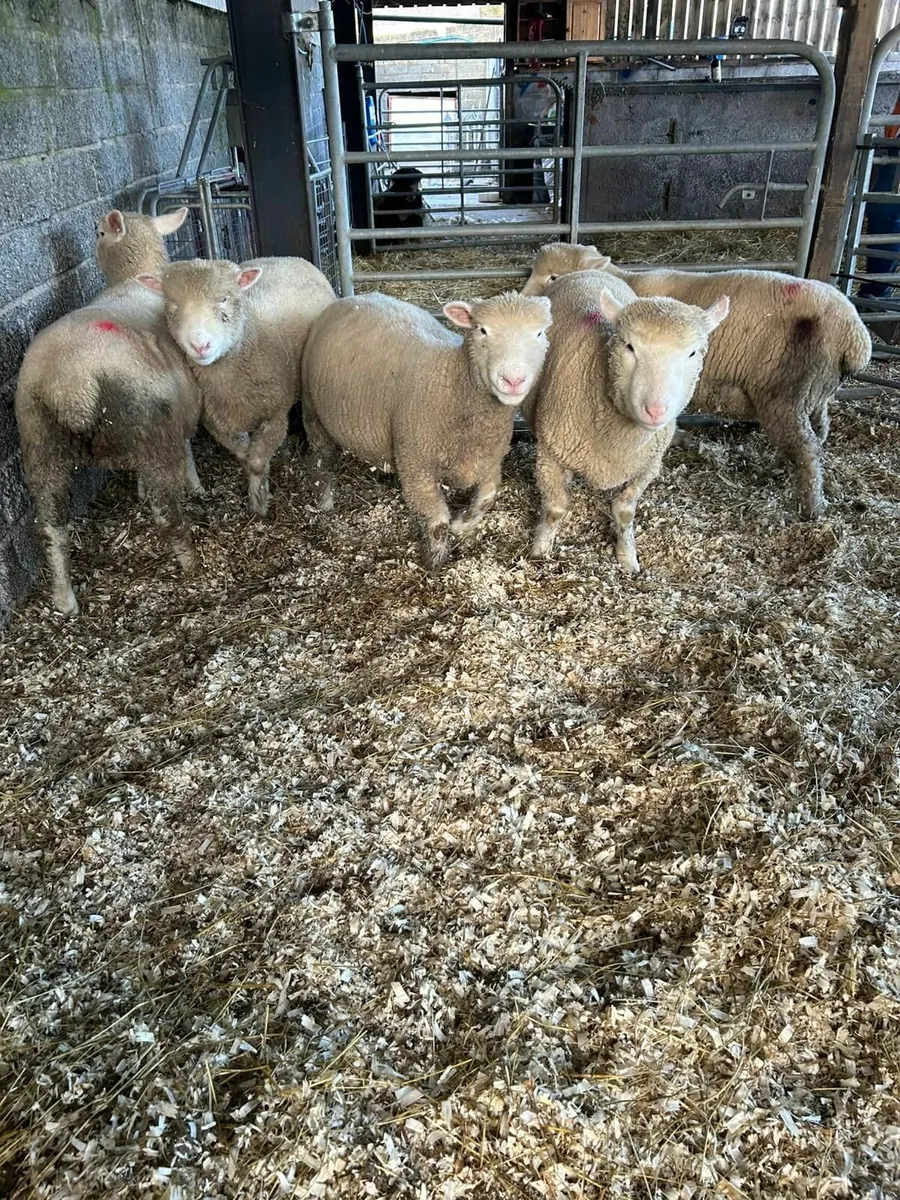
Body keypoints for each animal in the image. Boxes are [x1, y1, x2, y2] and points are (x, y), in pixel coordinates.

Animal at [136, 257, 337, 517]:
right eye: (172, 306)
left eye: (224, 298)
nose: (200, 345)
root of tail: (285, 257)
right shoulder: (217, 422)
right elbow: (244, 455)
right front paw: (261, 490)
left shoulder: (275, 414)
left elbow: (256, 461)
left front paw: (259, 504)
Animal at [301, 290, 553, 567]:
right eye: (482, 330)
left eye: (539, 333)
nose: (513, 380)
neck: (455, 382)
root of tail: (349, 298)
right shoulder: (416, 465)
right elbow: (437, 522)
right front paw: (436, 561)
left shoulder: (489, 460)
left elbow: (487, 497)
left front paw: (462, 523)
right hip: (313, 411)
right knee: (321, 459)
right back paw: (323, 501)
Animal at [522, 242, 872, 519]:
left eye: (553, 277)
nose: (524, 301)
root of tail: (854, 335)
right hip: (815, 391)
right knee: (818, 433)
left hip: (785, 394)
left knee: (807, 448)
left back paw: (811, 507)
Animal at [525, 270, 729, 572]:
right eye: (630, 347)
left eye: (693, 353)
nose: (655, 410)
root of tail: (589, 271)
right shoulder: (549, 454)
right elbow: (556, 508)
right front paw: (540, 548)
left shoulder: (647, 466)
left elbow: (624, 511)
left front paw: (628, 556)